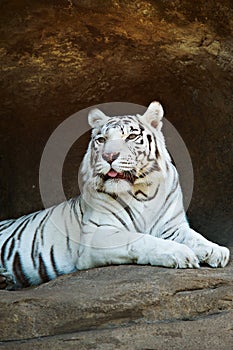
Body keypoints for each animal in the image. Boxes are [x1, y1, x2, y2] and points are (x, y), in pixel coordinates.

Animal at [0, 102, 229, 288]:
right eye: (101, 140)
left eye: (131, 136)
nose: (109, 156)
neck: (141, 190)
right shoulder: (97, 235)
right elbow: (141, 240)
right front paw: (180, 253)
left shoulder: (172, 227)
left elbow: (195, 237)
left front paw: (217, 251)